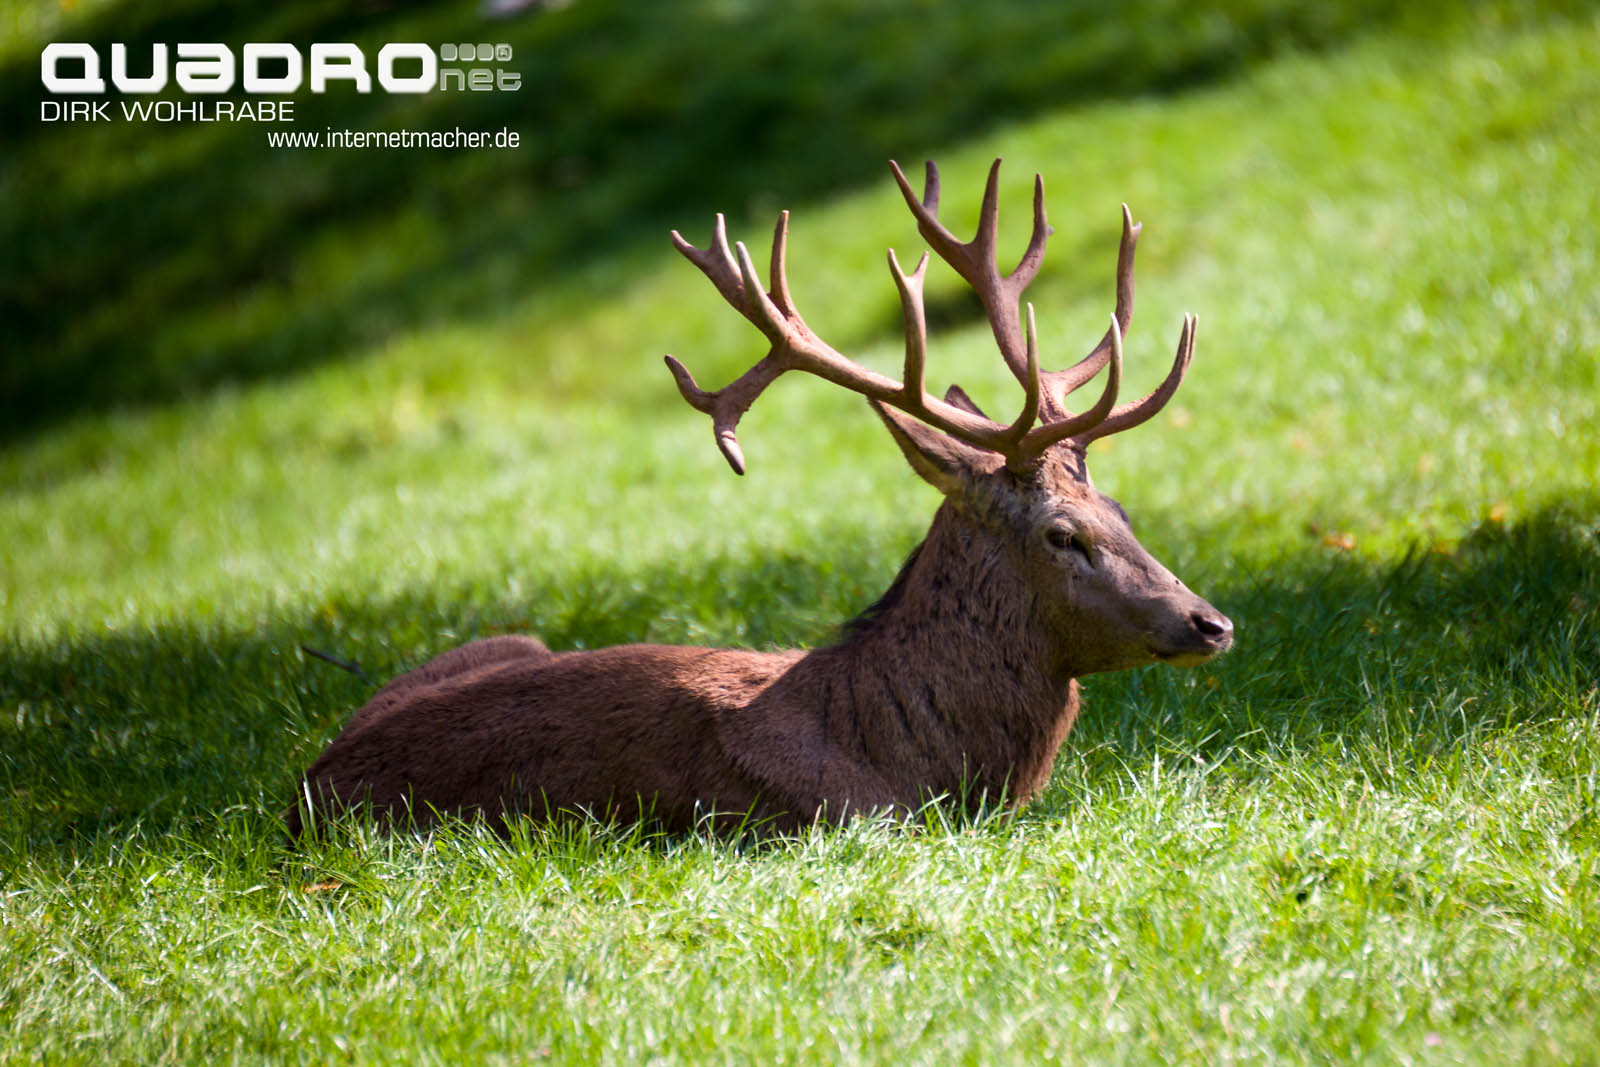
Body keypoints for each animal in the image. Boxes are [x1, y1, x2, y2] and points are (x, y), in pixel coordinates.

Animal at [285, 159, 1233, 838]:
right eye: (1063, 535)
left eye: (1126, 515)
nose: (1212, 621)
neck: (910, 758)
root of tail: (304, 788)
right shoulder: (835, 823)